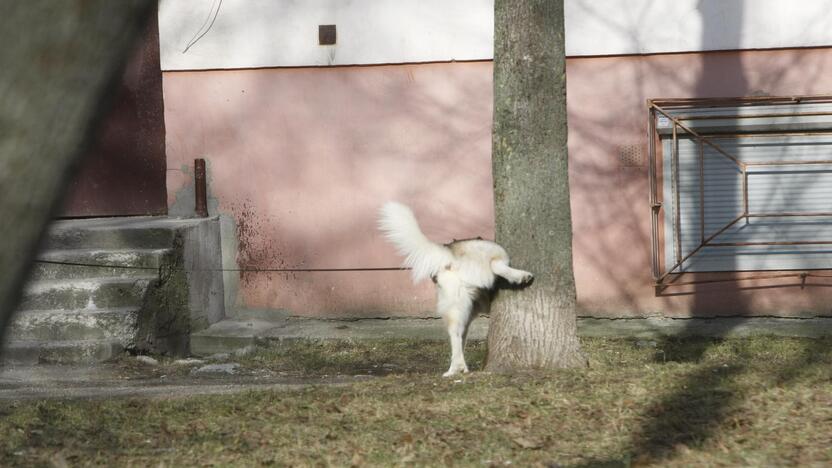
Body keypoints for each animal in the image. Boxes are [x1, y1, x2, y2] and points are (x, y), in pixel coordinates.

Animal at [376, 201, 532, 376]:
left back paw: (455, 369)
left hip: (459, 308)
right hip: (489, 251)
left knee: (455, 335)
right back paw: (520, 275)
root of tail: (450, 253)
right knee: (496, 263)